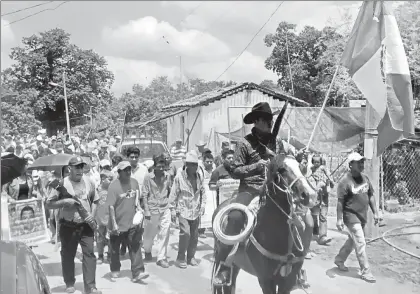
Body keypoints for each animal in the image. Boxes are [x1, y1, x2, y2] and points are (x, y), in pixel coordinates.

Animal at [212, 153, 316, 292]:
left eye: (302, 167)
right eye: (281, 169)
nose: (310, 195)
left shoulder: (288, 280)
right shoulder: (265, 279)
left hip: (236, 264)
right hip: (221, 256)